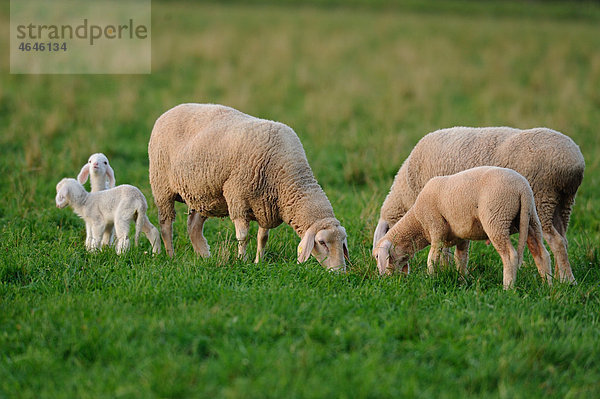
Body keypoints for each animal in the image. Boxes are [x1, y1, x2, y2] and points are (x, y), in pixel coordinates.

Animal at [147, 103, 350, 272]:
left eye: (342, 242)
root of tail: (169, 111)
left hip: (203, 193)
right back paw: (171, 255)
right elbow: (243, 236)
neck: (288, 176)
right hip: (162, 185)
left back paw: (205, 257)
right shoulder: (238, 198)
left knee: (193, 227)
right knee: (165, 224)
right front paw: (242, 260)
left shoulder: (266, 205)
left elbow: (263, 237)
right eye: (322, 242)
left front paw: (258, 261)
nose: (339, 273)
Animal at [376, 166, 552, 290]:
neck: (417, 222)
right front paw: (461, 281)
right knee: (541, 253)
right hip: (530, 219)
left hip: (497, 217)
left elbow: (432, 259)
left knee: (510, 255)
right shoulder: (461, 237)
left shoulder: (436, 228)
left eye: (377, 256)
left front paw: (430, 279)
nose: (385, 279)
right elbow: (460, 260)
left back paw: (507, 288)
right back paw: (548, 286)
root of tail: (522, 188)